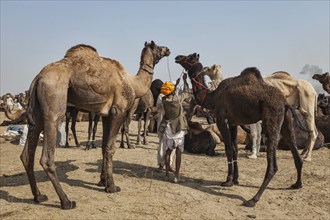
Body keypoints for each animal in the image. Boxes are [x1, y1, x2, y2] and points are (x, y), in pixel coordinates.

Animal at [20, 41, 170, 210]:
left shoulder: (106, 115)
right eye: (158, 47)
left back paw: (39, 196)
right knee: (47, 156)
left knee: (27, 154)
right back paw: (66, 201)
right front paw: (112, 187)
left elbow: (104, 146)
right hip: (54, 104)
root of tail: (38, 77)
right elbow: (110, 148)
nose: (168, 50)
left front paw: (102, 181)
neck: (132, 83)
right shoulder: (118, 111)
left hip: (36, 112)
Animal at [174, 52, 306, 207]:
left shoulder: (221, 119)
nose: (177, 57)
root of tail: (285, 103)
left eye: (189, 57)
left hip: (273, 117)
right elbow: (235, 148)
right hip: (287, 121)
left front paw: (227, 180)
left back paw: (253, 199)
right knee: (295, 153)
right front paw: (235, 179)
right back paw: (297, 184)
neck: (213, 97)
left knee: (273, 165)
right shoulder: (234, 122)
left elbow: (228, 149)